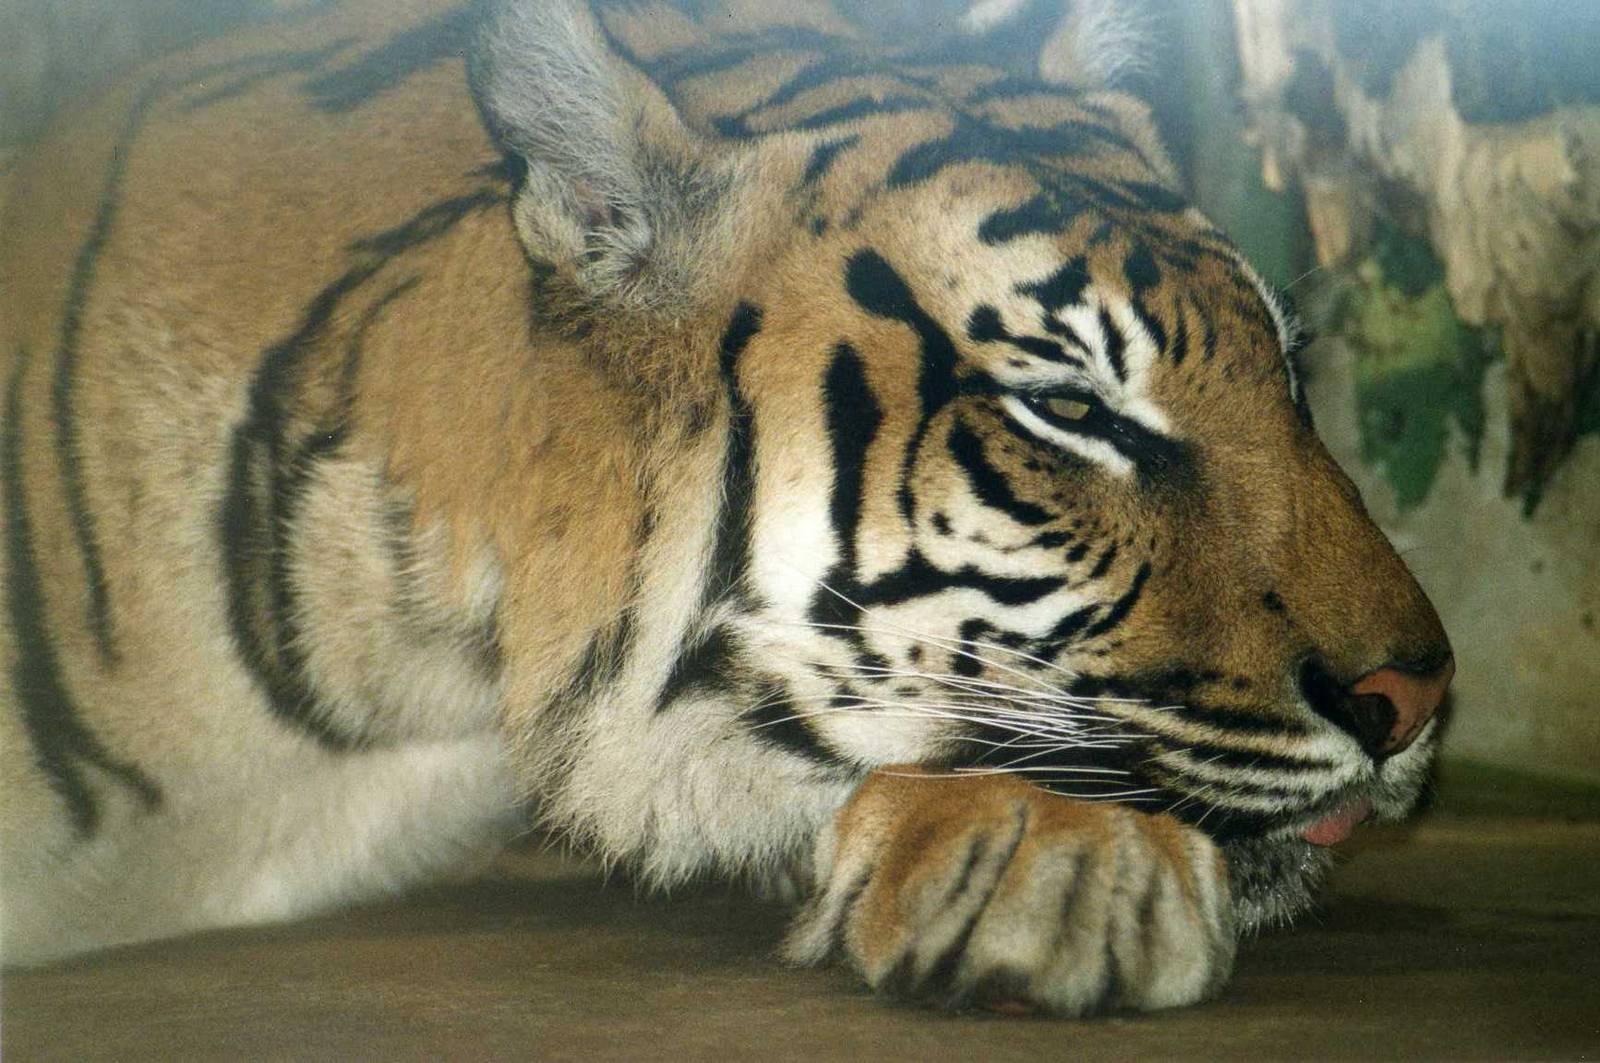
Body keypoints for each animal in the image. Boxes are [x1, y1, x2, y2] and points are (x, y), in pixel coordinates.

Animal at [0, 0, 1454, 1016]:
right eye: (1071, 408)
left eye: (1287, 378)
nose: (1419, 698)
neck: (427, 684)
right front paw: (1062, 864)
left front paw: (1050, 859)